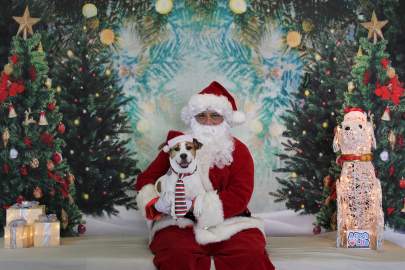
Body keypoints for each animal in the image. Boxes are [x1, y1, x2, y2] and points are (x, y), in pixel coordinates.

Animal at [332, 108, 384, 249]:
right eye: (343, 125)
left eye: (360, 126)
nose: (348, 128)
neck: (356, 158)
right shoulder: (342, 199)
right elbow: (341, 223)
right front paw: (341, 241)